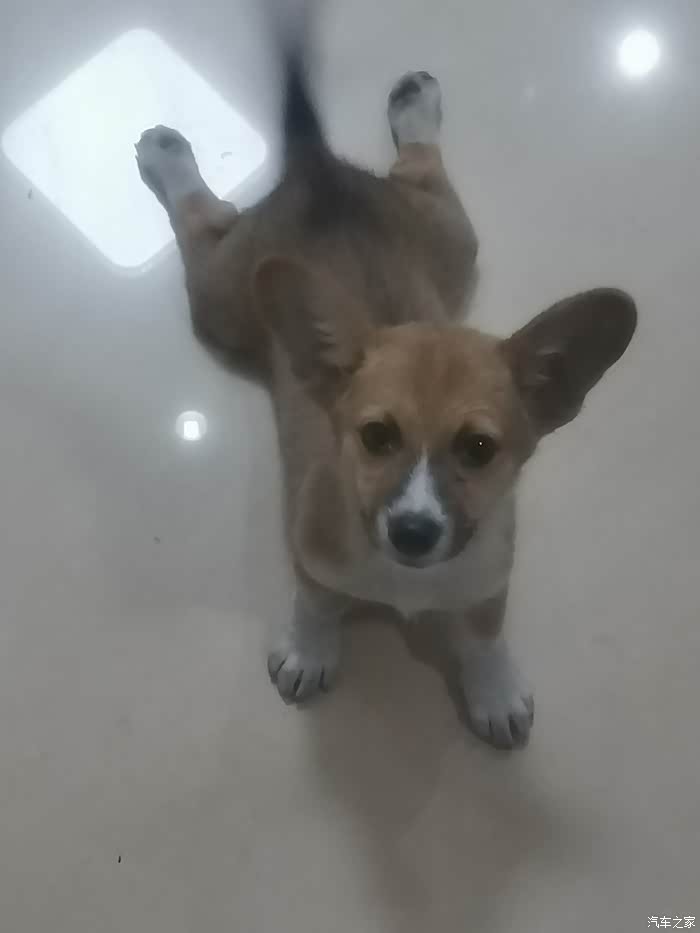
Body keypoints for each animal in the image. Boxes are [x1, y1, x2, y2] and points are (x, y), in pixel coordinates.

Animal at [135, 2, 636, 748]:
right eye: (376, 436)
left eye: (479, 449)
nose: (414, 533)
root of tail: (317, 173)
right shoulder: (311, 556)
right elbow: (315, 604)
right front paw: (310, 653)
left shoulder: (490, 578)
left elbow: (484, 632)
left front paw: (494, 689)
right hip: (219, 297)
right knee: (203, 218)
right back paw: (169, 154)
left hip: (453, 238)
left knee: (420, 163)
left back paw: (415, 103)